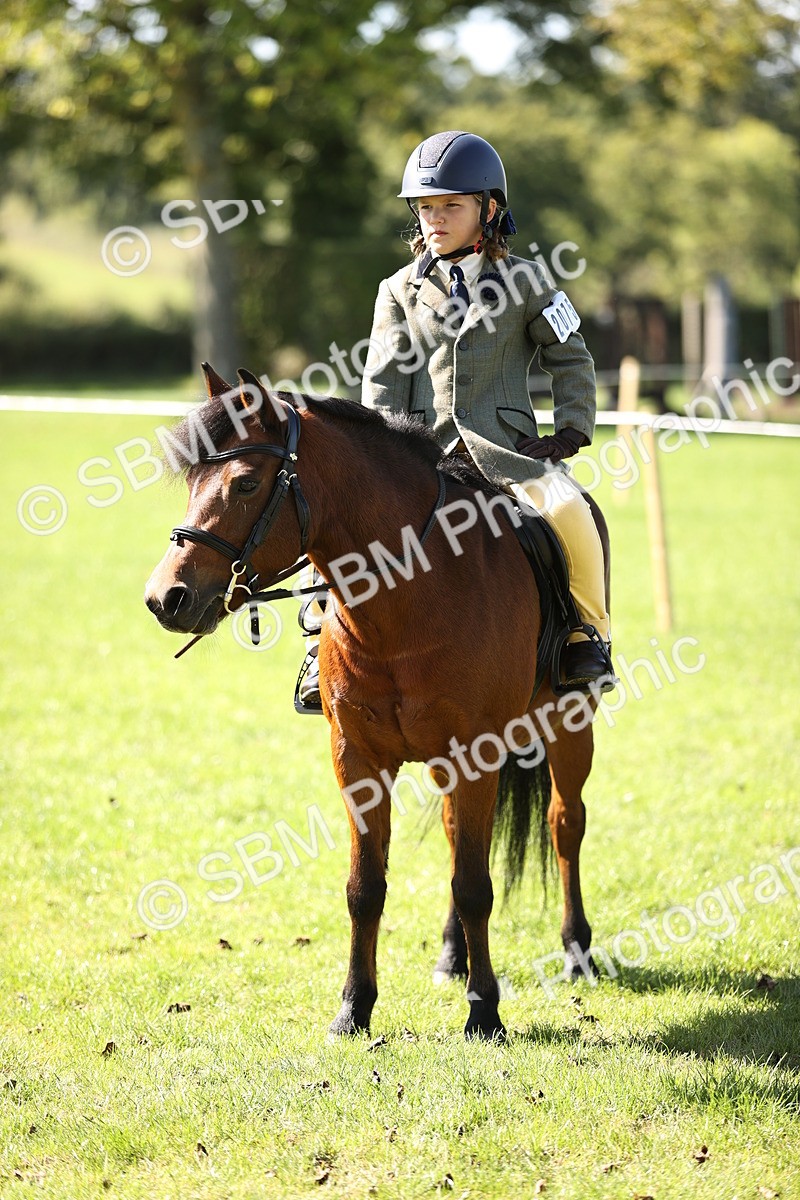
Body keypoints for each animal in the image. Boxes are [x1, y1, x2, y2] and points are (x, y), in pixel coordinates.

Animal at [144, 362, 610, 1041]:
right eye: (191, 483)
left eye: (246, 483)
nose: (166, 597)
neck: (406, 599)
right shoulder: (358, 759)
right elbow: (366, 888)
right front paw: (354, 1008)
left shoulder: (475, 751)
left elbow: (476, 886)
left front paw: (485, 1012)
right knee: (457, 837)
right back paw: (451, 956)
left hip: (568, 724)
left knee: (564, 823)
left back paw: (576, 951)